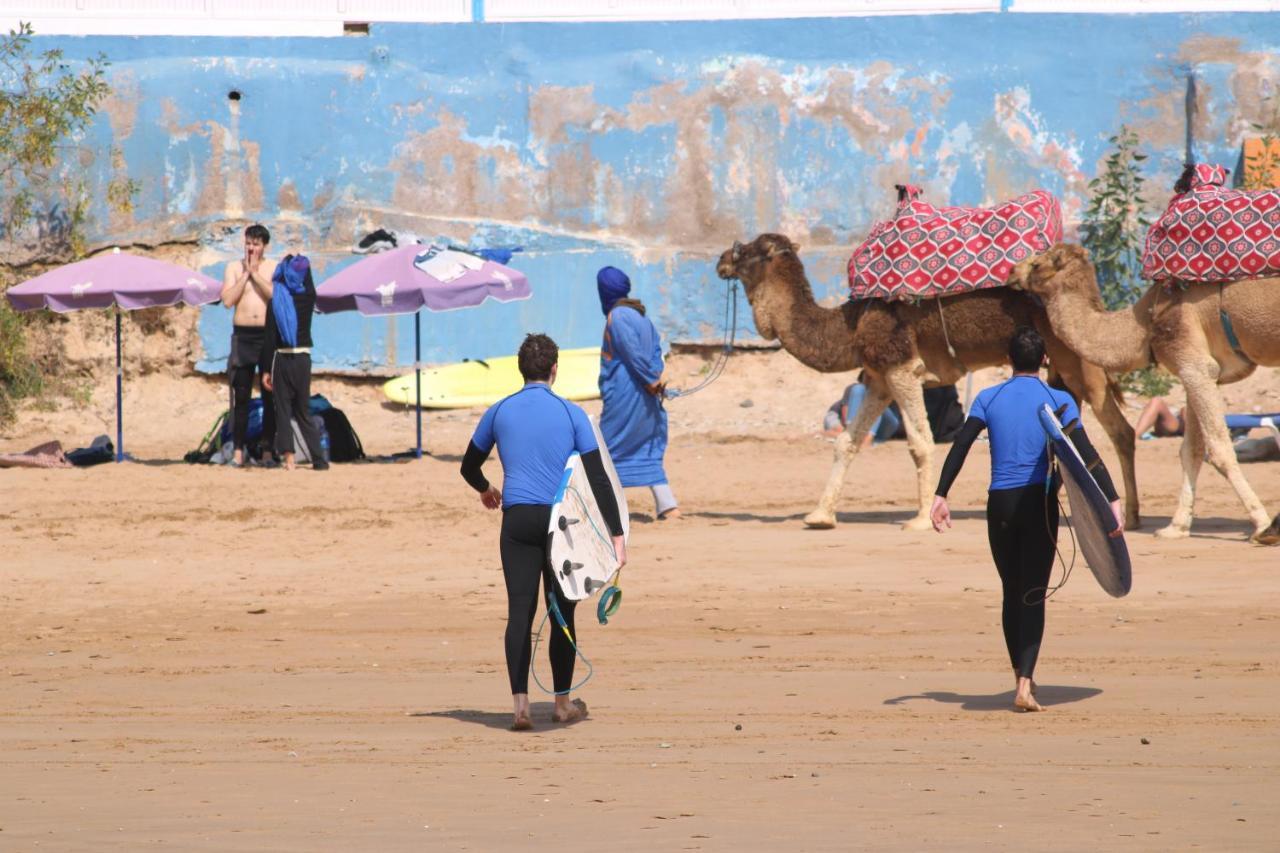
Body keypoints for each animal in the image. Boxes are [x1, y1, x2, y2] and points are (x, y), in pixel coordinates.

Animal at [711, 229, 1141, 527]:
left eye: (748, 249)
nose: (720, 259)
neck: (850, 327)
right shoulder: (879, 378)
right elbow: (847, 443)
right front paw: (819, 516)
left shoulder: (902, 367)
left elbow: (920, 442)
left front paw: (919, 520)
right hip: (1059, 366)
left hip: (1076, 357)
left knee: (1119, 430)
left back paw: (1131, 518)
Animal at [1013, 242, 1274, 540]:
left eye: (1037, 264)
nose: (1012, 271)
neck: (1145, 323)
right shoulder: (1200, 371)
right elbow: (1191, 450)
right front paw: (1176, 527)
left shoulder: (1193, 363)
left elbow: (1219, 450)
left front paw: (1262, 525)